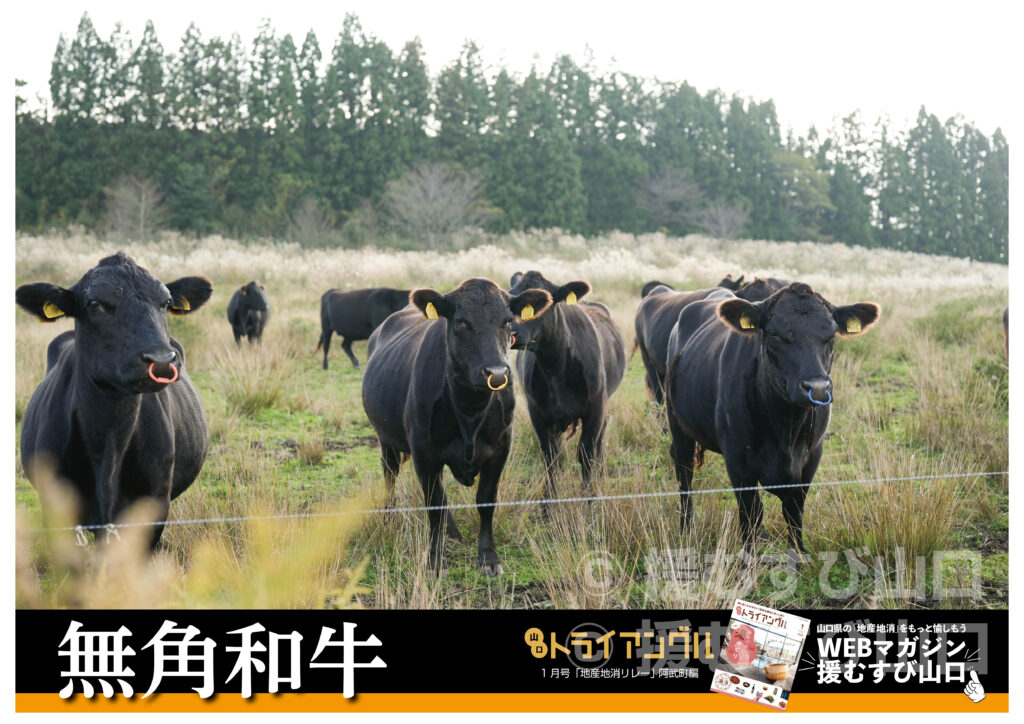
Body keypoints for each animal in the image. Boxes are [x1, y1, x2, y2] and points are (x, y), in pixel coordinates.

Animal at [360, 280, 552, 573]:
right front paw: (435, 559)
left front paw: (488, 557)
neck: (469, 411)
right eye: (461, 321)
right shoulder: (424, 452)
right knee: (390, 475)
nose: (497, 373)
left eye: (508, 320)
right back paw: (389, 518)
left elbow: (485, 500)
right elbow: (434, 504)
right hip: (386, 439)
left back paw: (452, 532)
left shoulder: (499, 449)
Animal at [509, 268, 626, 512]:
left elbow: (586, 453)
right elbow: (551, 458)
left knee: (599, 442)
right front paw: (547, 503)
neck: (555, 367)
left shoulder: (596, 408)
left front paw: (589, 499)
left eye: (538, 304)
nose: (510, 331)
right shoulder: (537, 411)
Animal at [663, 282, 880, 557]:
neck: (786, 430)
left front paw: (799, 554)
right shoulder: (737, 459)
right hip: (678, 425)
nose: (817, 388)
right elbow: (750, 512)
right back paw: (686, 528)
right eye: (775, 333)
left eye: (831, 335)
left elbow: (793, 511)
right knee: (685, 475)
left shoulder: (811, 456)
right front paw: (749, 557)